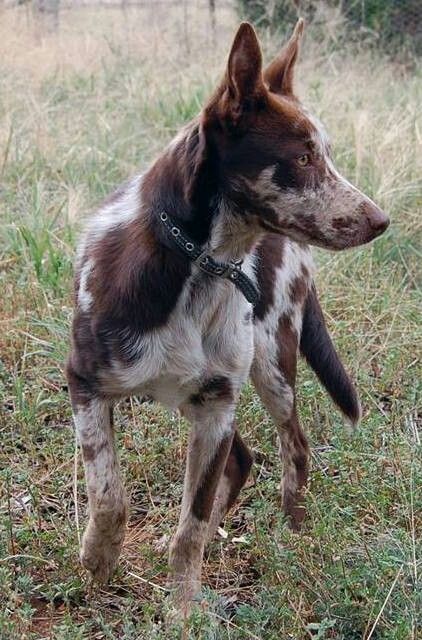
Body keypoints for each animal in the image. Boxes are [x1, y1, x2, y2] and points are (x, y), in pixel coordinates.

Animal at [66, 18, 390, 608]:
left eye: (327, 153)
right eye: (303, 157)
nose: (380, 221)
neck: (200, 265)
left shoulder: (217, 405)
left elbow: (190, 524)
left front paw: (184, 608)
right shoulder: (86, 383)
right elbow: (109, 494)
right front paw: (99, 561)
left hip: (268, 364)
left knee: (292, 447)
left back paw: (294, 535)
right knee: (242, 458)